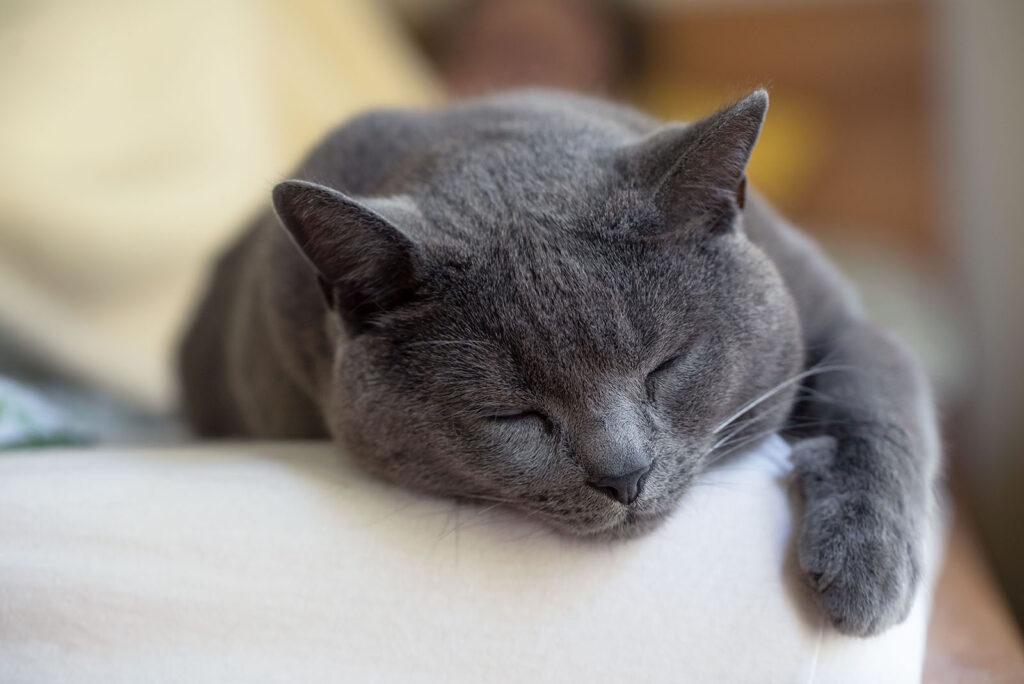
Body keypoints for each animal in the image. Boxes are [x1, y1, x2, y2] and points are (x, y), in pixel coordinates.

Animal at [176, 89, 937, 634]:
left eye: (666, 366)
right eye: (512, 414)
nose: (625, 475)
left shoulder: (843, 323)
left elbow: (876, 403)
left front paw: (868, 568)